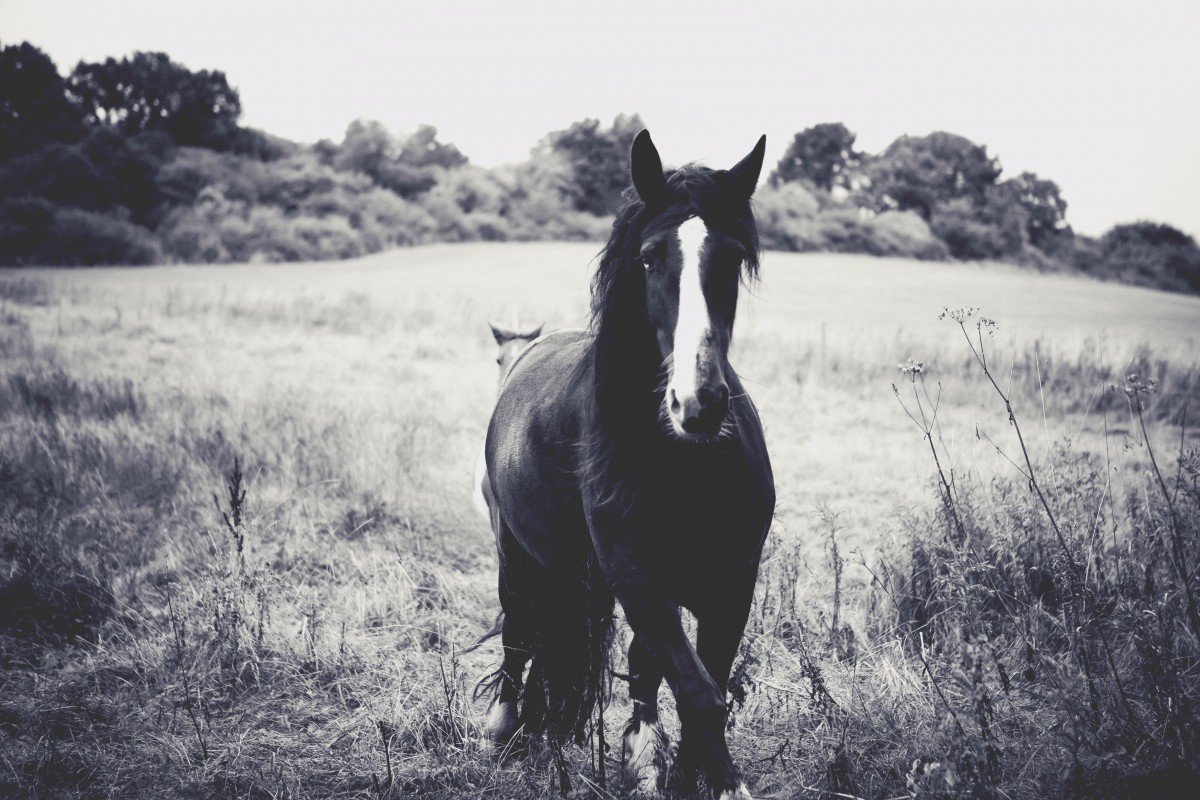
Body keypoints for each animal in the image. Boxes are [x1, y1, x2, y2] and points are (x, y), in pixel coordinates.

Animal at [482, 130, 772, 796]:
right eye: (647, 258)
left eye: (733, 257)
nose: (699, 401)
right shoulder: (635, 573)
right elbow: (698, 693)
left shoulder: (732, 582)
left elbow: (702, 687)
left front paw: (690, 774)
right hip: (518, 553)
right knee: (519, 634)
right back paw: (501, 728)